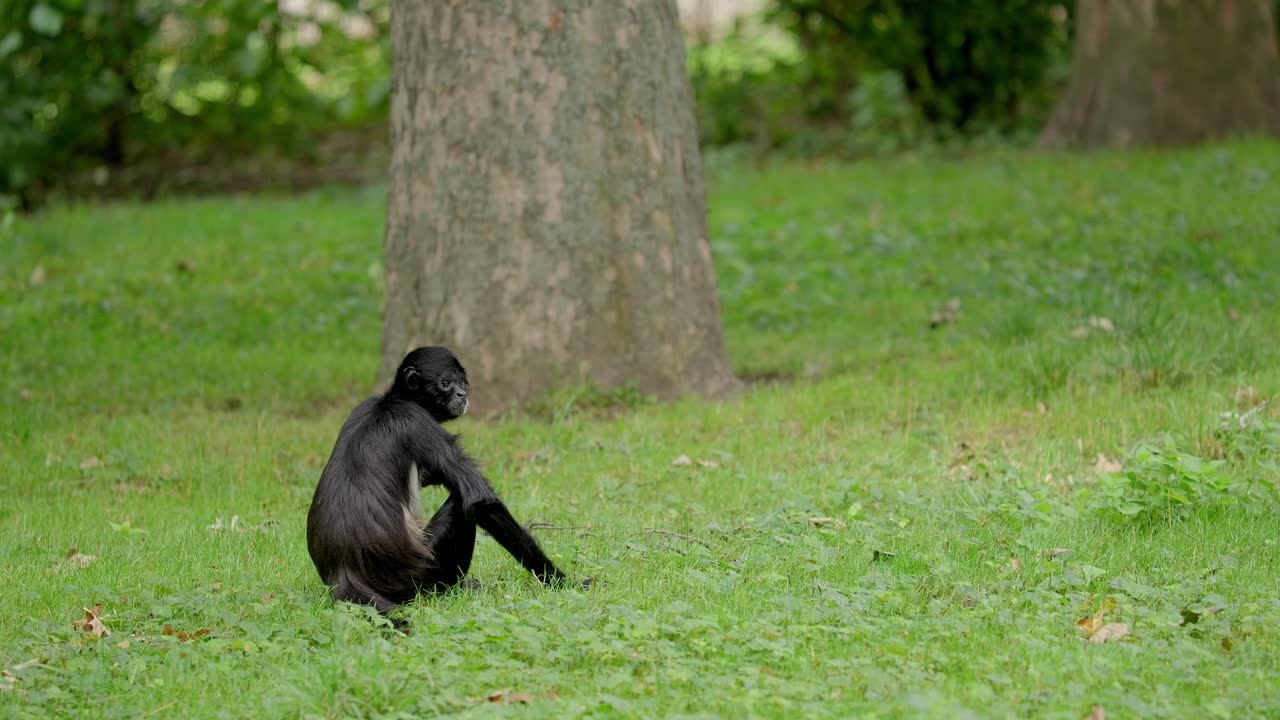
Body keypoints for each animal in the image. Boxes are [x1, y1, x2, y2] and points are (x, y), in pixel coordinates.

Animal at [306, 346, 584, 616]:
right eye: (446, 383)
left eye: (461, 382)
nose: (461, 394)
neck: (393, 401)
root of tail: (344, 572)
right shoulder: (416, 420)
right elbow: (481, 502)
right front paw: (563, 582)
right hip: (421, 572)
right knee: (460, 505)